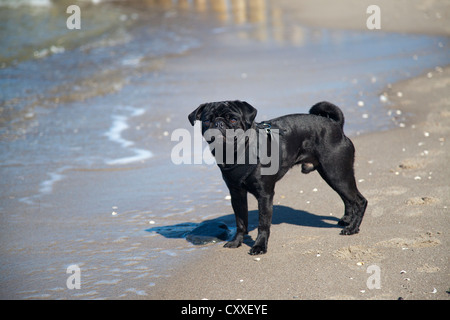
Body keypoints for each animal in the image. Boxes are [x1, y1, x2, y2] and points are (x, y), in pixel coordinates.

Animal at [188, 100, 368, 255]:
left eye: (233, 119)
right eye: (207, 121)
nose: (218, 123)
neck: (235, 152)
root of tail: (336, 126)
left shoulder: (265, 195)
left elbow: (263, 224)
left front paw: (259, 246)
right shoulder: (236, 194)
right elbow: (241, 221)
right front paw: (237, 241)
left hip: (336, 173)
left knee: (359, 201)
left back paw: (352, 228)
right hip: (333, 176)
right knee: (347, 199)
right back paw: (346, 220)